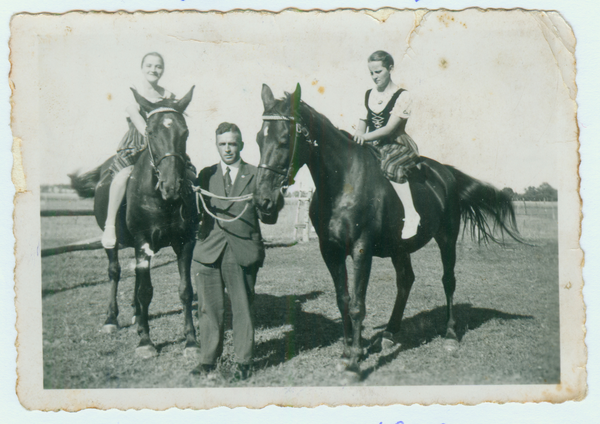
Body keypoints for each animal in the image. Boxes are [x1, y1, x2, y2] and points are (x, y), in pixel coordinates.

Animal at [71, 88, 199, 360]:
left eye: (185, 132)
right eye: (150, 132)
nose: (171, 187)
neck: (162, 201)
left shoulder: (185, 243)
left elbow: (185, 290)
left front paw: (191, 341)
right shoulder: (143, 241)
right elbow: (145, 291)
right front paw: (145, 342)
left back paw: (136, 315)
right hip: (116, 242)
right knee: (115, 272)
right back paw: (111, 319)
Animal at [254, 83, 524, 378]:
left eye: (284, 139)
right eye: (258, 140)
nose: (264, 203)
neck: (343, 183)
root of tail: (446, 172)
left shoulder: (361, 249)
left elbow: (358, 305)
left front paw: (354, 363)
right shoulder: (330, 250)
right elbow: (343, 300)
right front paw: (348, 351)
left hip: (447, 238)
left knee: (448, 280)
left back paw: (451, 335)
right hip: (400, 247)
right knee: (406, 280)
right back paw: (390, 334)